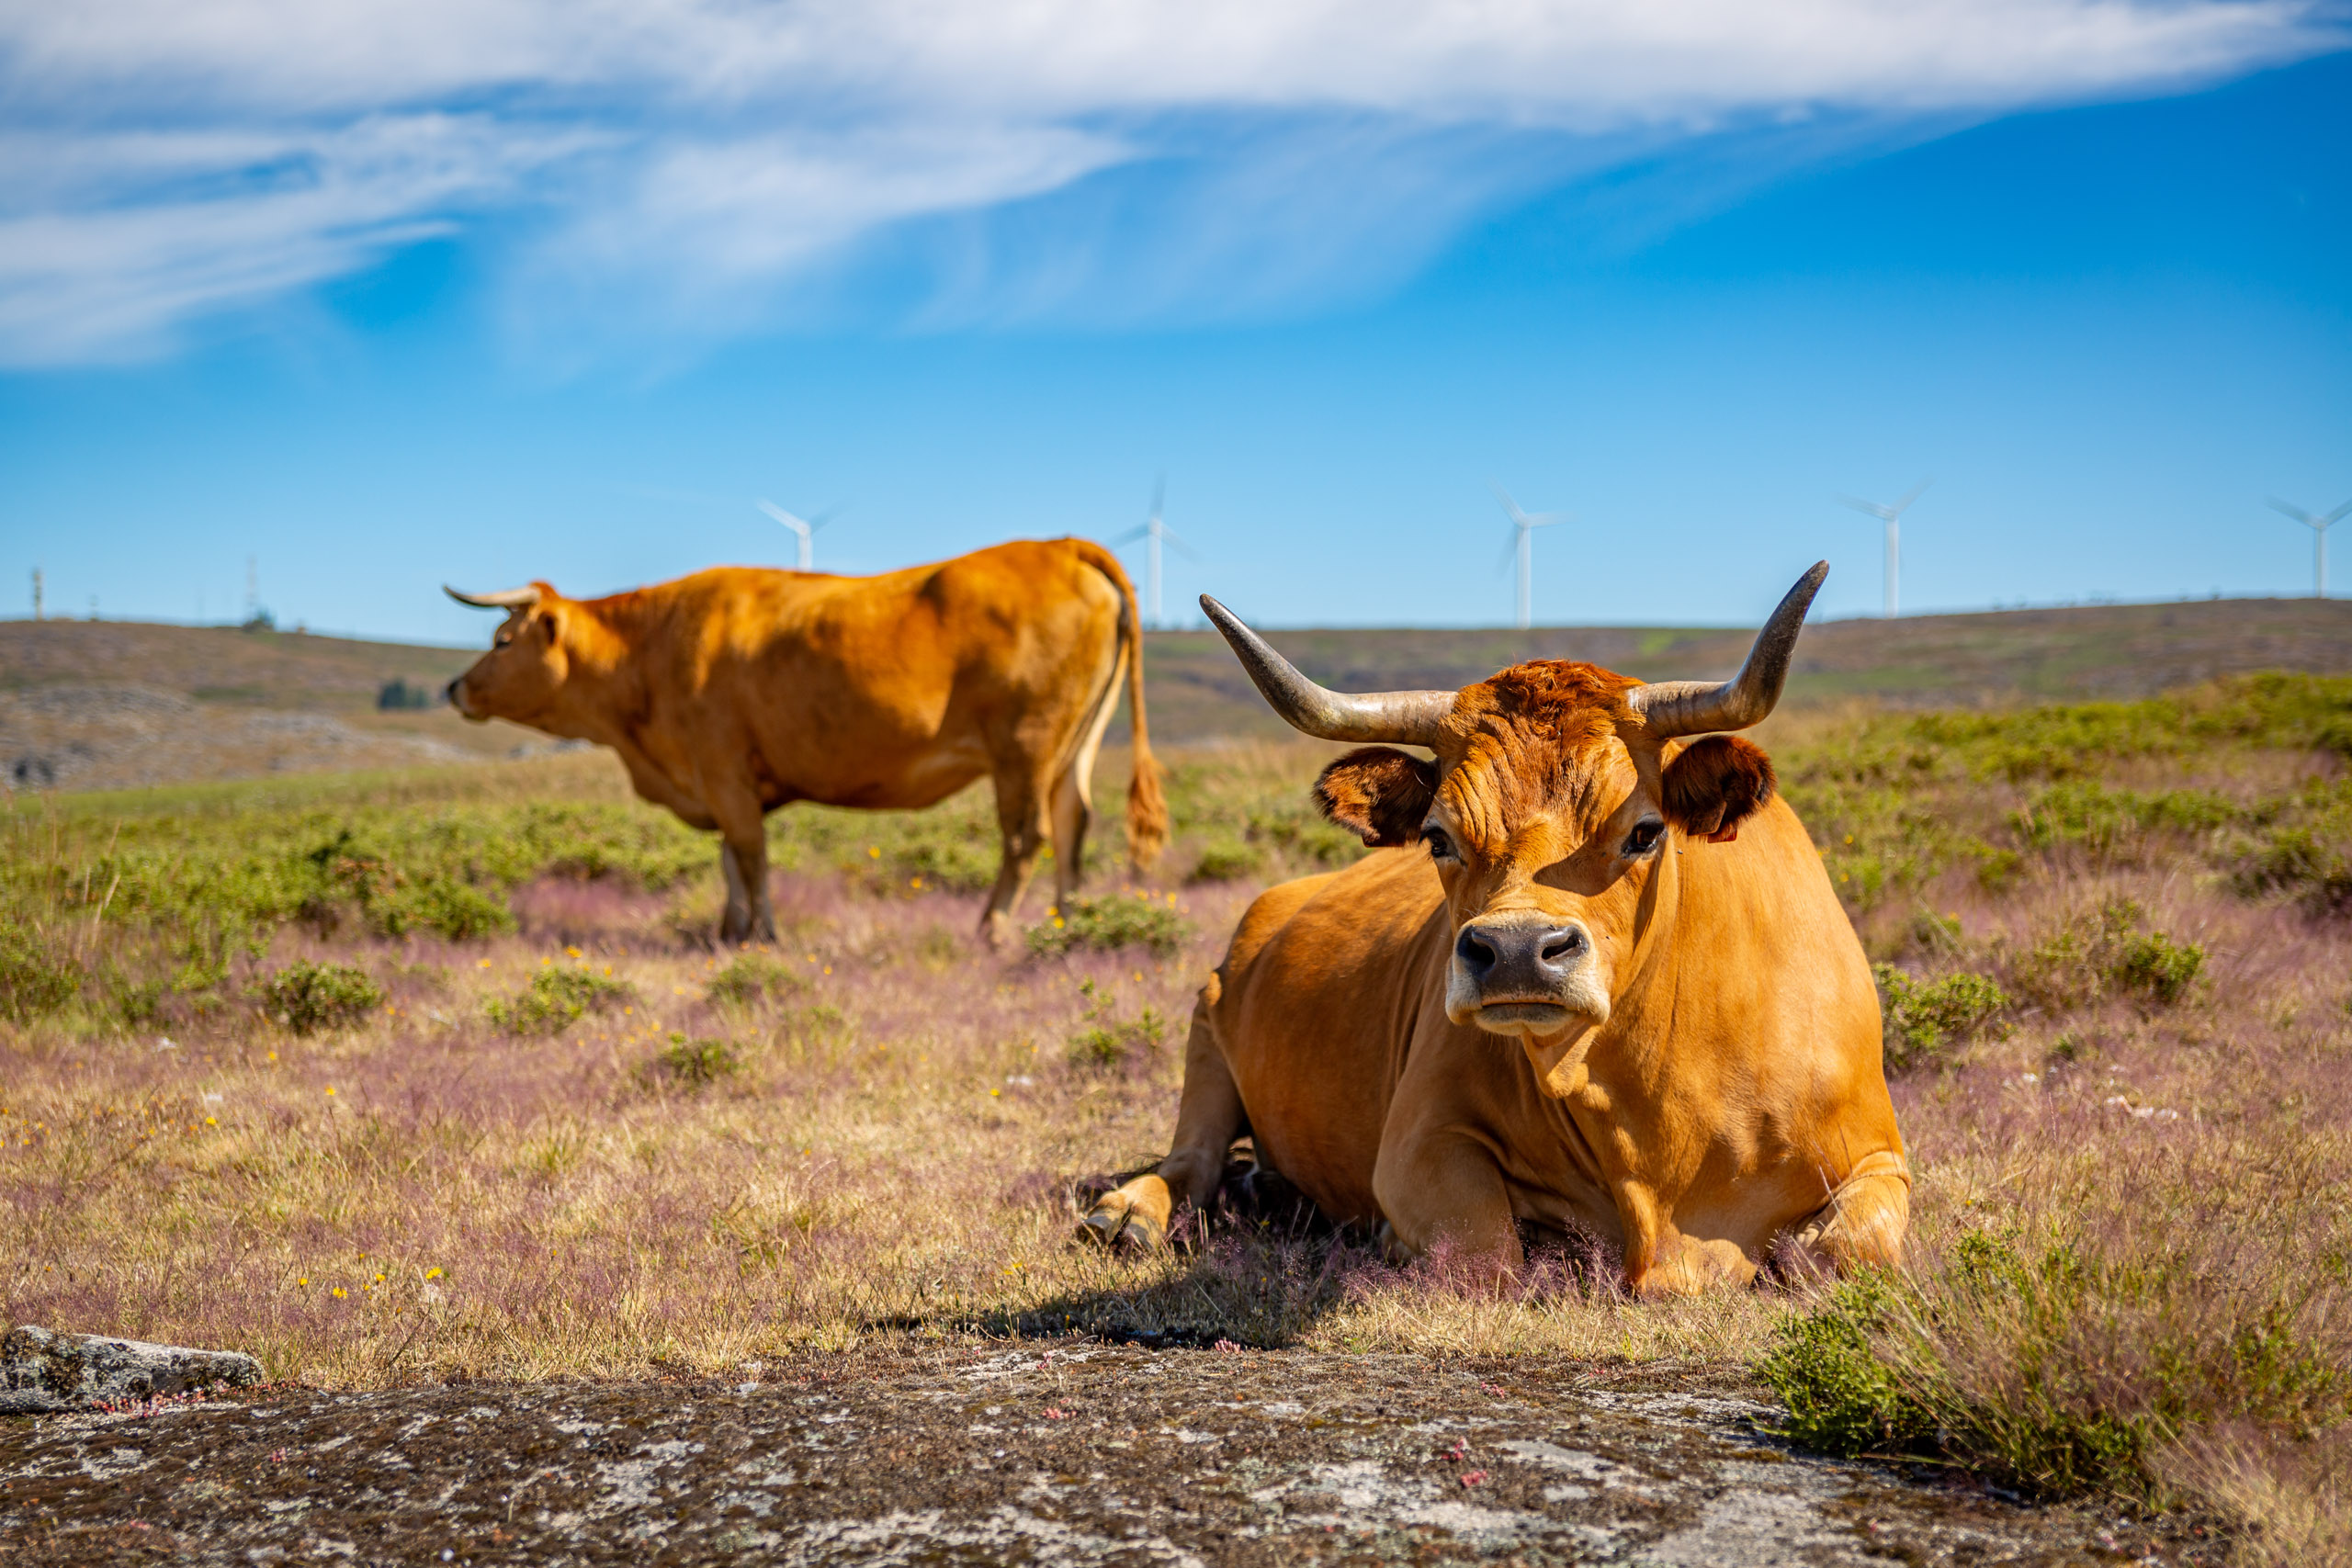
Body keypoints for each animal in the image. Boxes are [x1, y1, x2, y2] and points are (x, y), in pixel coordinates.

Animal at [442, 536, 1166, 944]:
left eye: (501, 639)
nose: (453, 687)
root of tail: (1061, 543)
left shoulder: (724, 772)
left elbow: (749, 856)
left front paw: (761, 934)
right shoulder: (724, 781)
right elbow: (730, 862)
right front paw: (728, 931)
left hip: (1025, 745)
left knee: (1026, 837)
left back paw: (991, 930)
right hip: (1074, 745)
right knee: (1073, 823)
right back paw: (1069, 925)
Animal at [1086, 566, 1909, 1297]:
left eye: (1644, 831)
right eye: (1439, 837)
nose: (1515, 952)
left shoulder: (1881, 1156)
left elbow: (1837, 1251)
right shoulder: (1420, 1139)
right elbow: (1488, 1255)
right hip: (1206, 1030)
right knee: (1191, 1158)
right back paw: (1128, 1212)